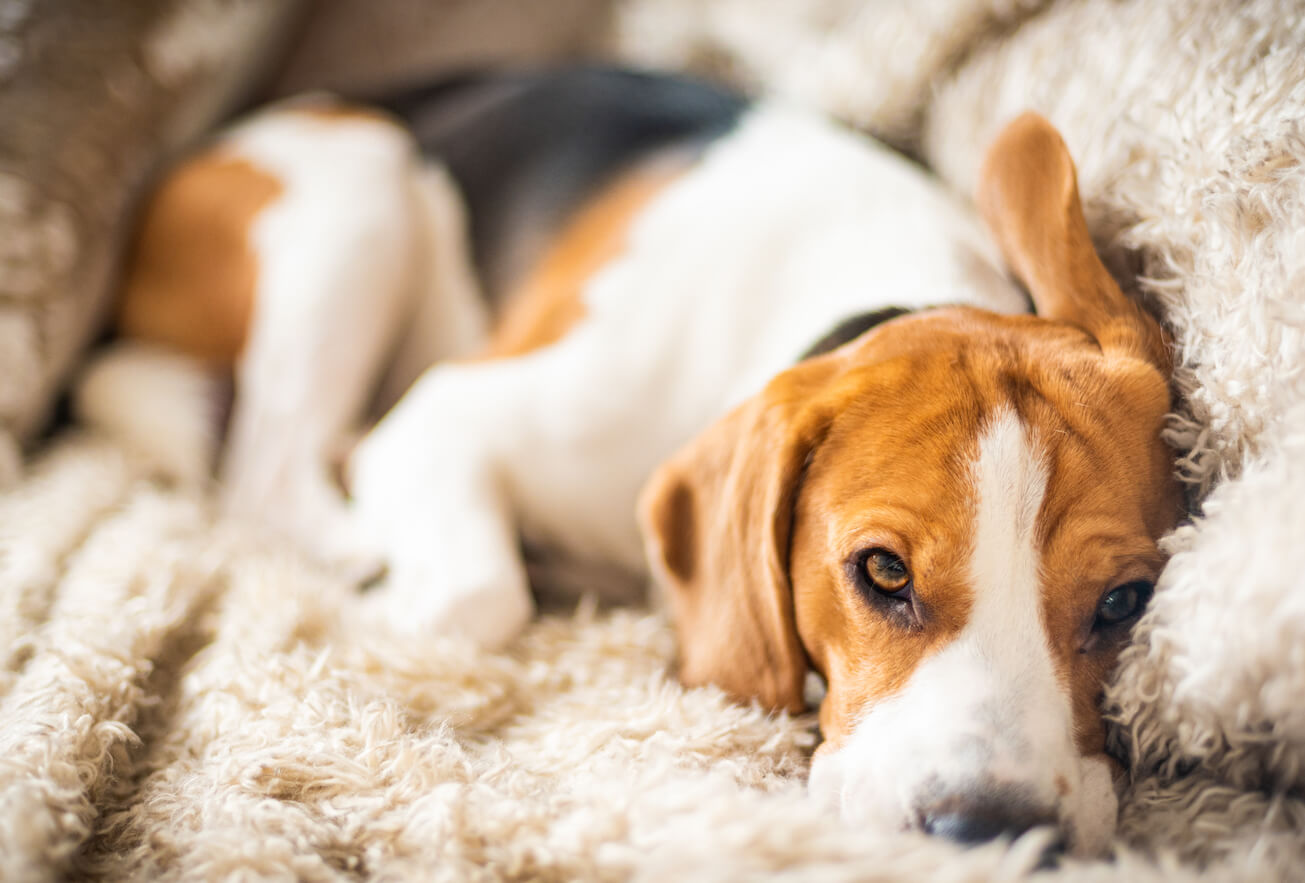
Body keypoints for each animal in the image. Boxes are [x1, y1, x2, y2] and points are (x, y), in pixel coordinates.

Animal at [78, 67, 1184, 855]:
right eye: (882, 572)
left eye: (1124, 602)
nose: (990, 832)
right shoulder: (445, 419)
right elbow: (478, 598)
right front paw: (401, 602)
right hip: (358, 198)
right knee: (268, 469)